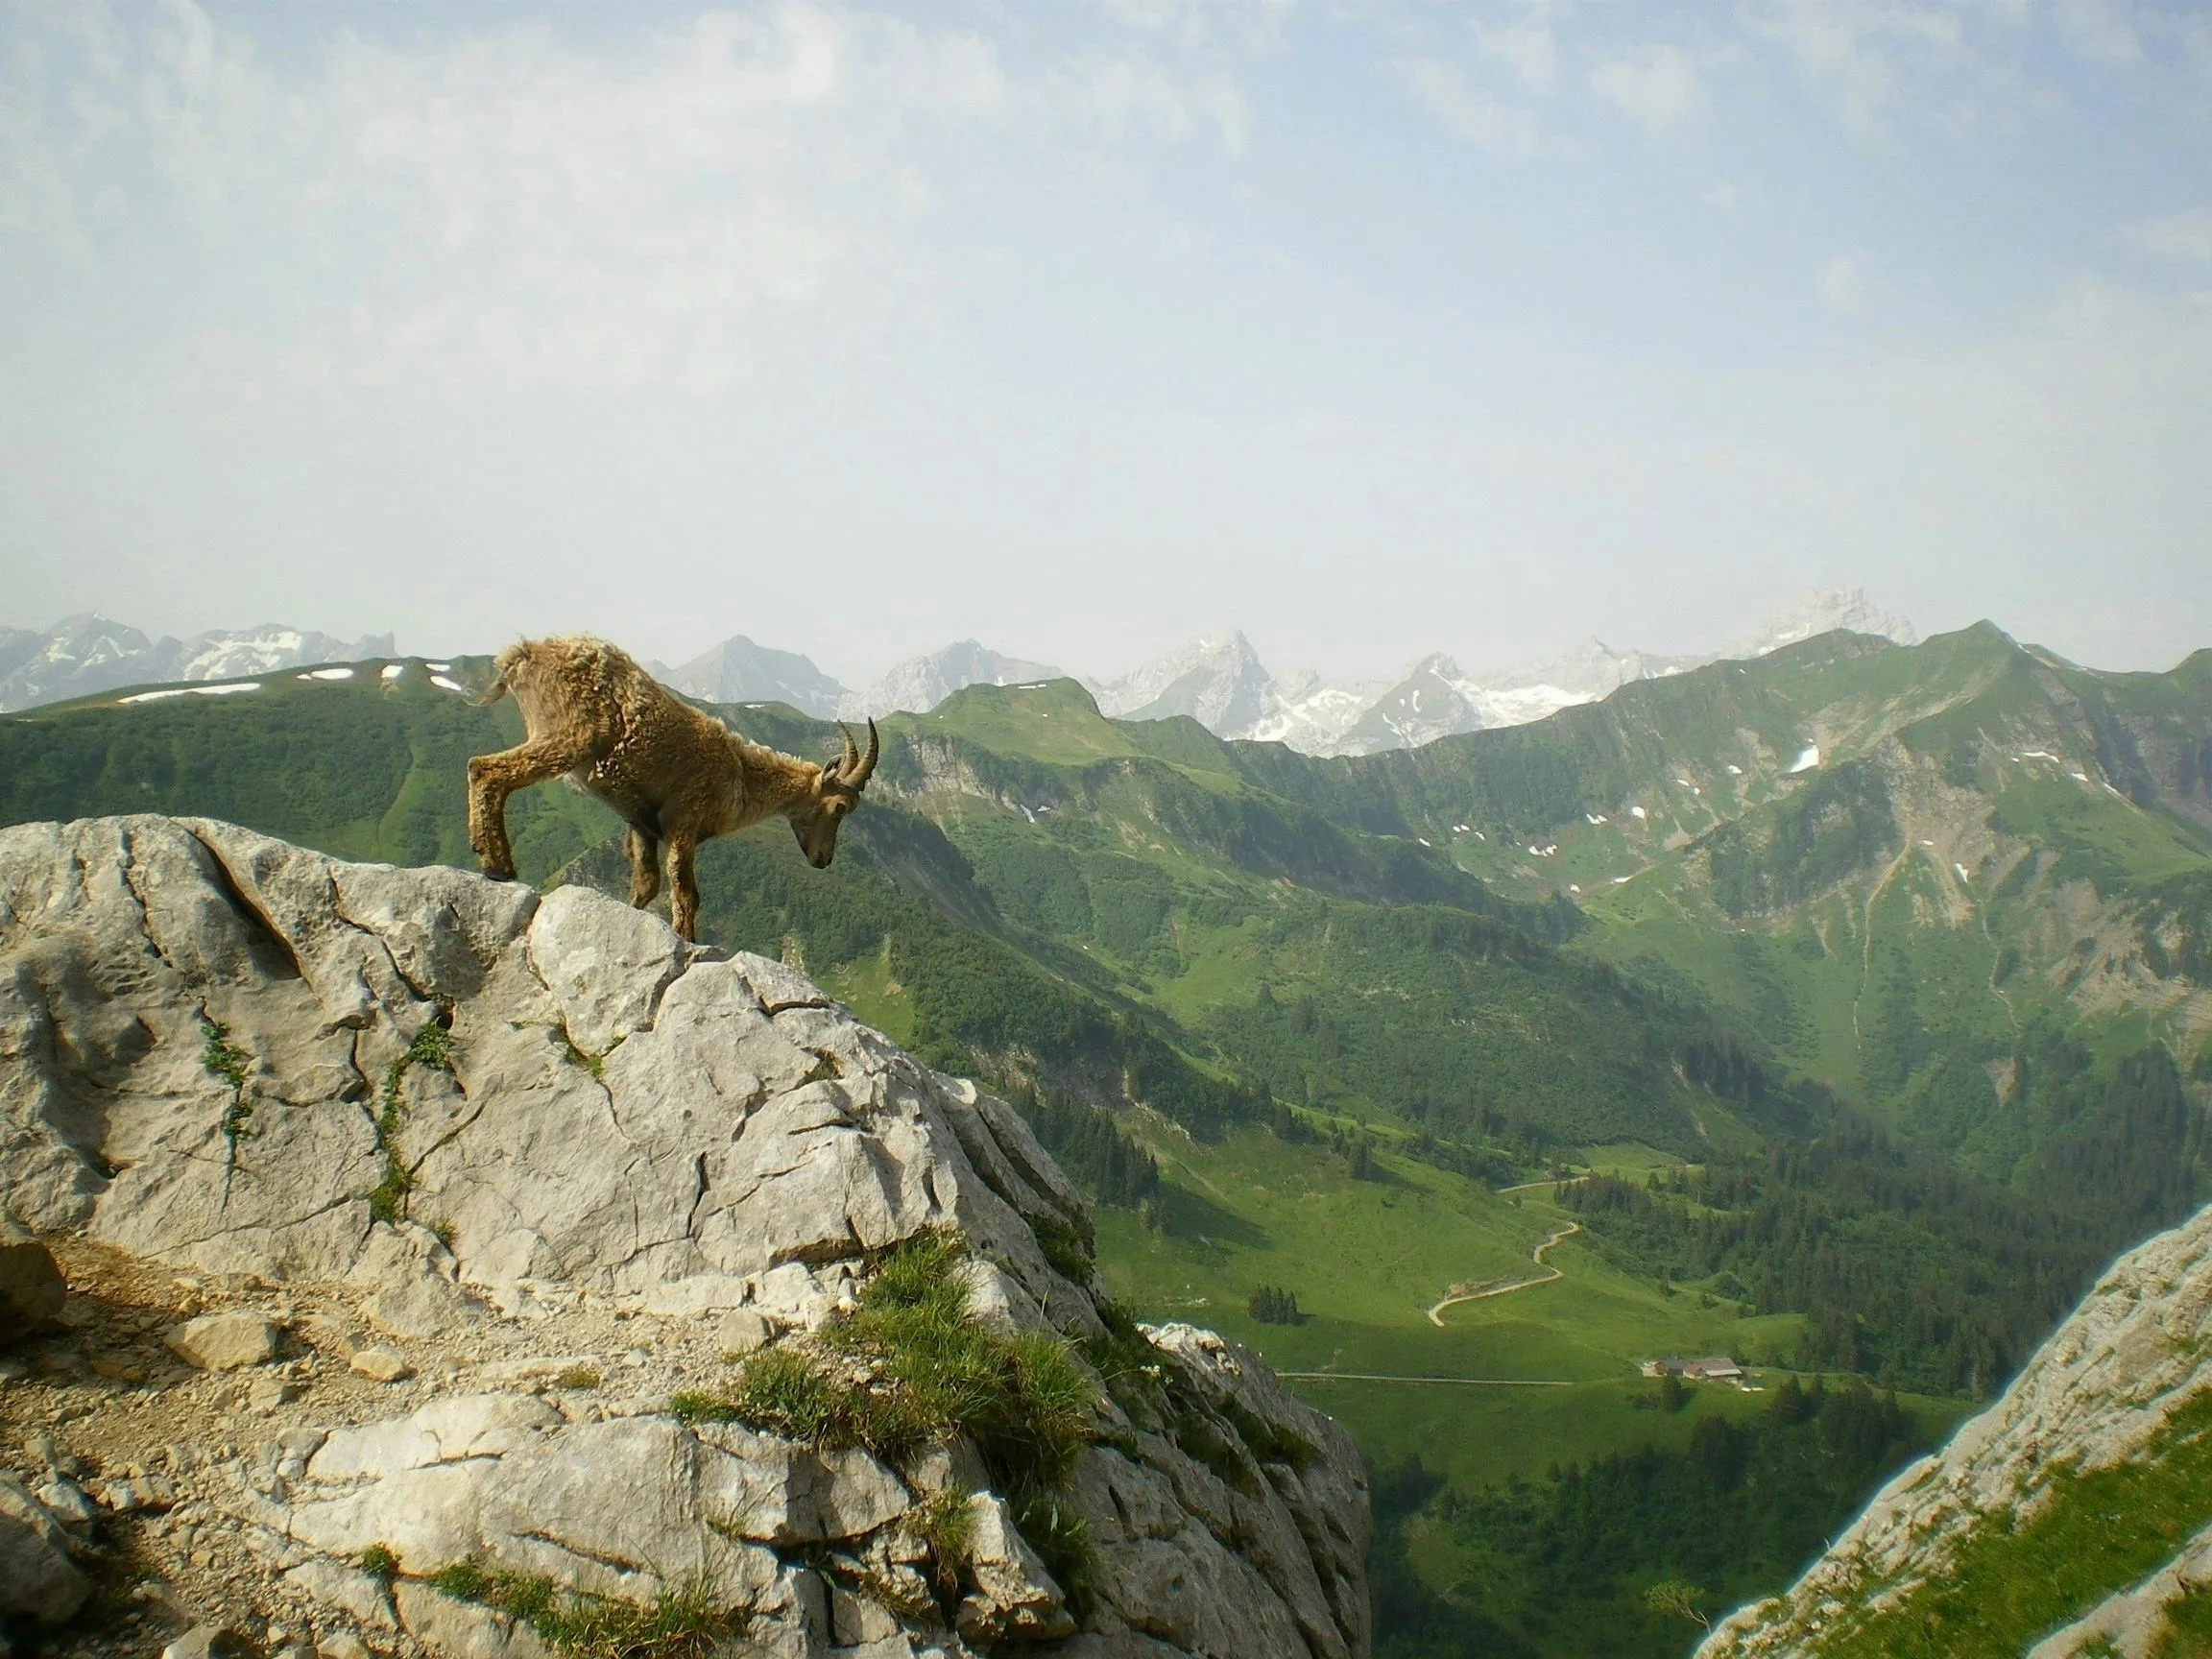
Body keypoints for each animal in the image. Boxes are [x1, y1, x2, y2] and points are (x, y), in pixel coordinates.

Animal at [467, 635, 879, 941]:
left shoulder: (641, 824)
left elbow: (646, 885)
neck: (741, 774)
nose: (823, 859)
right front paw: (687, 940)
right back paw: (497, 865)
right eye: (840, 807)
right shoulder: (684, 819)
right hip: (566, 736)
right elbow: (685, 891)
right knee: (485, 770)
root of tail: (520, 654)